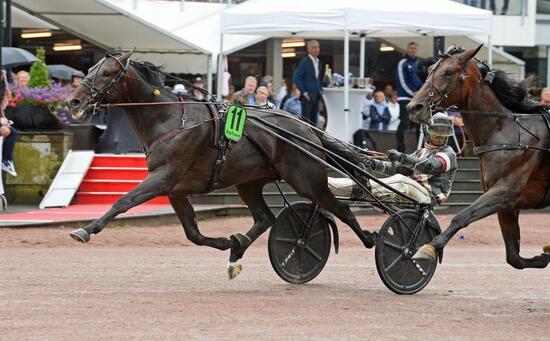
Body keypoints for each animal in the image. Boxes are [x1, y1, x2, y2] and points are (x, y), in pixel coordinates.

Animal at [62, 51, 378, 278]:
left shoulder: (164, 178)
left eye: (106, 73)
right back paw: (237, 252)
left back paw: (371, 238)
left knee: (341, 209)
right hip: (249, 182)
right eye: (89, 70)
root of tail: (309, 129)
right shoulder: (176, 190)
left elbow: (123, 201)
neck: (170, 117)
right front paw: (230, 243)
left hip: (307, 180)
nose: (72, 101)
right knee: (265, 218)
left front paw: (85, 230)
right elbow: (193, 233)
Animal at [408, 44, 550, 268]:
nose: (415, 107)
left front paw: (429, 247)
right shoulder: (507, 204)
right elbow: (514, 257)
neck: (505, 131)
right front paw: (543, 256)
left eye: (448, 72)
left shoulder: (506, 191)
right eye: (430, 70)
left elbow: (462, 216)